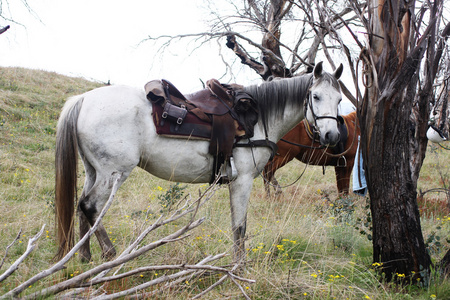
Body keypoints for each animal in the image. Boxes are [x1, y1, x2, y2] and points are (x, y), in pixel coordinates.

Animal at [55, 62, 344, 262]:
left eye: (340, 99)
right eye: (316, 97)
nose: (331, 136)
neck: (257, 117)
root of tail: (83, 99)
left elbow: (239, 225)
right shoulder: (243, 180)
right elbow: (239, 226)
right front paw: (239, 266)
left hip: (94, 171)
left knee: (81, 206)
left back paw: (84, 257)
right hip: (113, 172)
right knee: (90, 206)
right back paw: (111, 253)